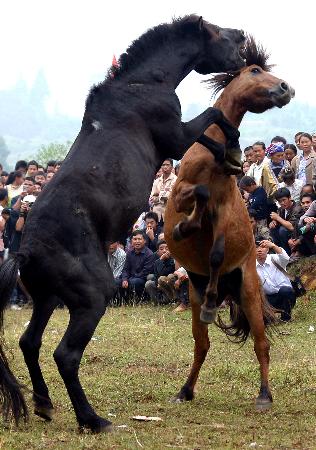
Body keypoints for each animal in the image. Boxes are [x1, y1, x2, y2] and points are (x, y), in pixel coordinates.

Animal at [0, 14, 244, 432]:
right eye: (218, 32)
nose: (243, 38)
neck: (142, 84)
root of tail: (24, 251)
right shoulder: (175, 136)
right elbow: (213, 120)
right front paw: (232, 147)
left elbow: (209, 137)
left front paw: (230, 157)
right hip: (91, 297)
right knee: (65, 355)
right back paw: (92, 419)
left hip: (46, 298)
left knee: (30, 343)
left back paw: (45, 405)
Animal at [164, 37, 296, 410]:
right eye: (254, 70)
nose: (286, 88)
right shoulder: (180, 192)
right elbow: (198, 196)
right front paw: (181, 228)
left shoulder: (224, 210)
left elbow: (217, 252)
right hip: (193, 295)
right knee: (202, 345)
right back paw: (185, 390)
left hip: (248, 291)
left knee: (261, 343)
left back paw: (264, 394)